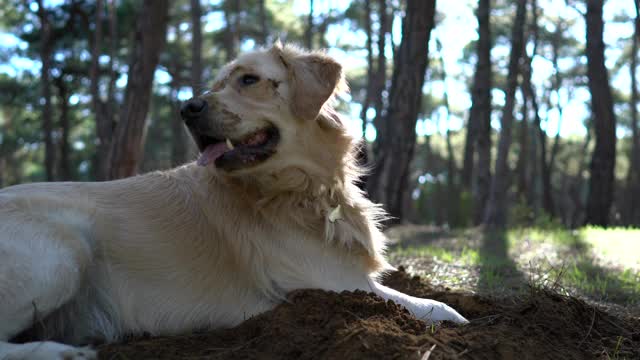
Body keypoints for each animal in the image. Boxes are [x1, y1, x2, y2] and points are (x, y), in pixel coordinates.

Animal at [0, 43, 464, 358]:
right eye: (218, 84)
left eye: (248, 80)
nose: (187, 109)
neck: (302, 190)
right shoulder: (332, 282)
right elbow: (433, 306)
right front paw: (456, 318)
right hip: (65, 251)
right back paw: (60, 351)